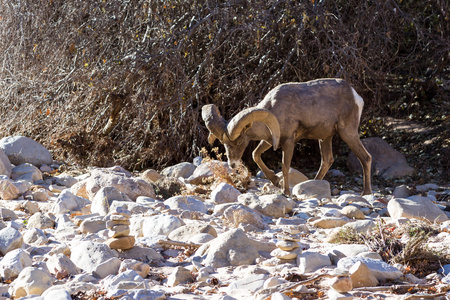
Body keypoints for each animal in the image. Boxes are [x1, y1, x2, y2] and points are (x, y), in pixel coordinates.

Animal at [202, 79, 370, 197]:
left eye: (239, 141)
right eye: (223, 142)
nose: (233, 164)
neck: (275, 109)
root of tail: (356, 97)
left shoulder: (288, 141)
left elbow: (284, 166)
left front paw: (285, 192)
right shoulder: (270, 140)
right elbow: (256, 155)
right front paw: (276, 182)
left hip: (347, 133)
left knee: (365, 158)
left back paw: (366, 193)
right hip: (325, 138)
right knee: (327, 160)